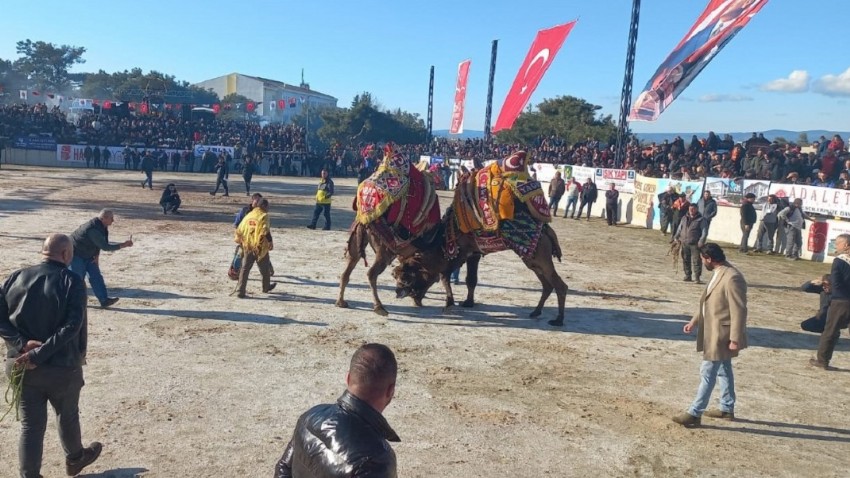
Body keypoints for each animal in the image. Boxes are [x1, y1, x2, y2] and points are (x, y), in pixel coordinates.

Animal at [392, 151, 568, 326]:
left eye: (408, 278)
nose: (400, 293)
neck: (447, 234)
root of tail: (547, 231)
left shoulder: (459, 252)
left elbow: (444, 276)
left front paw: (449, 304)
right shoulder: (473, 253)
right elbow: (471, 279)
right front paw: (468, 302)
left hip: (539, 254)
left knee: (559, 285)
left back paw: (558, 320)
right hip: (531, 258)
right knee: (547, 284)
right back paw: (536, 311)